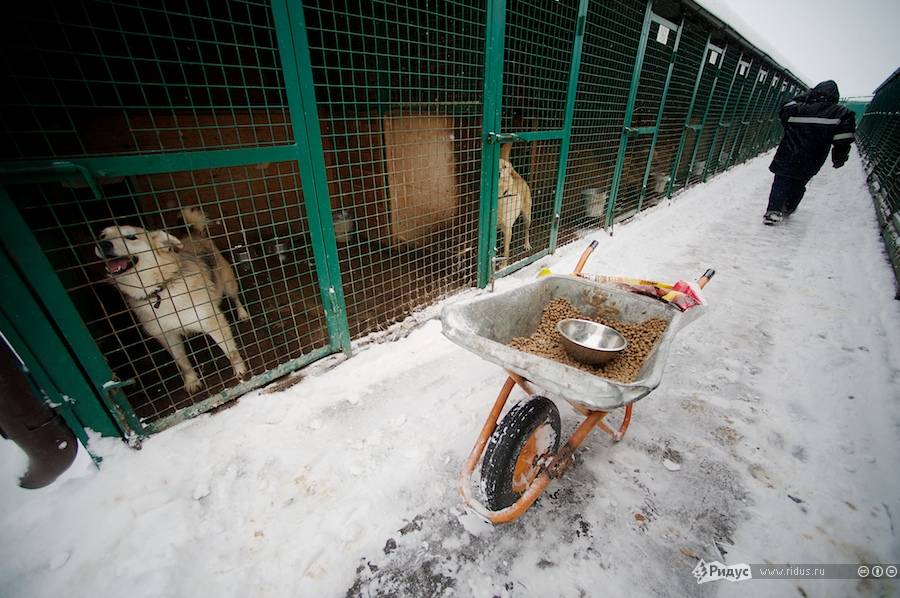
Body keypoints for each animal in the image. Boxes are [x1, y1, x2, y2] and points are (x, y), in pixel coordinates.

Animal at [94, 209, 250, 396]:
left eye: (131, 237)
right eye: (102, 235)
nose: (103, 244)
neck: (159, 291)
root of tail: (190, 234)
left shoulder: (212, 321)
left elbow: (230, 351)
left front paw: (240, 370)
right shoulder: (166, 335)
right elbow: (182, 362)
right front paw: (192, 381)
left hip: (228, 282)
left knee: (235, 297)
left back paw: (242, 313)